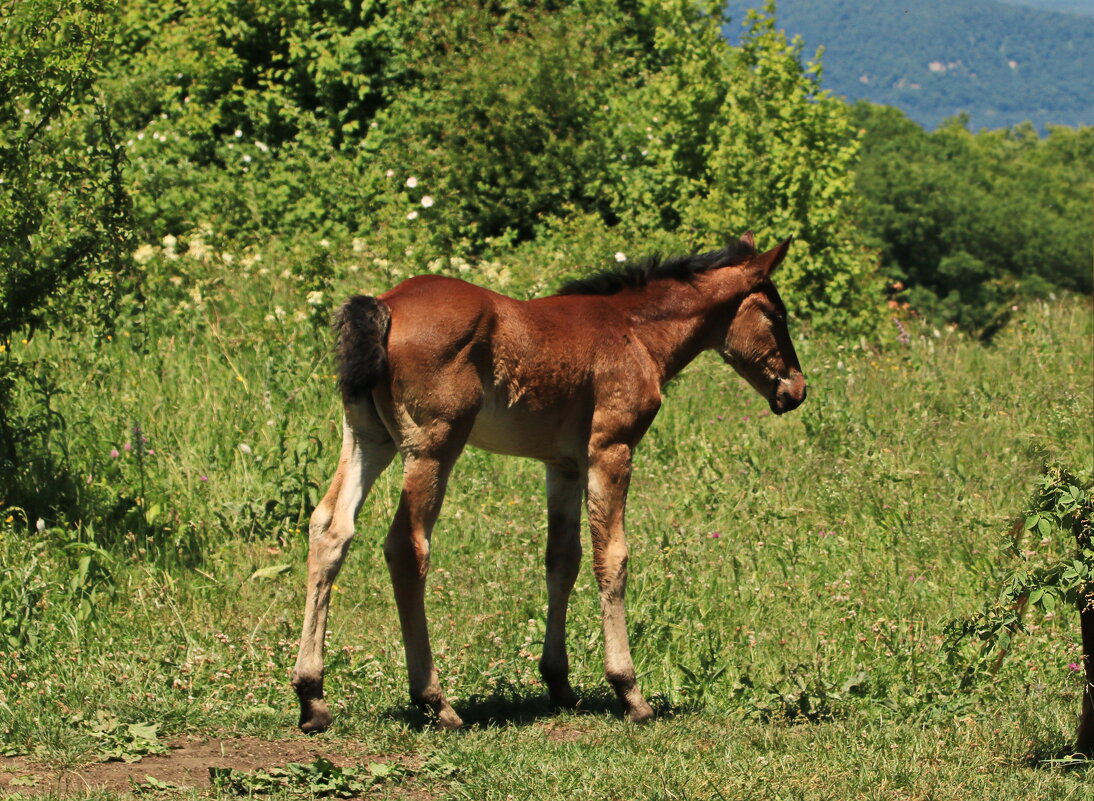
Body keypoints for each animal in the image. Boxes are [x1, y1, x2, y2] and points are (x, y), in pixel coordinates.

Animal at [291, 231, 805, 730]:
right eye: (777, 314)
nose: (796, 390)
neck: (634, 330)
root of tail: (386, 306)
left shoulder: (563, 466)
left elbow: (563, 558)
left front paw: (559, 683)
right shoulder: (610, 450)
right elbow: (612, 558)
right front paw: (630, 693)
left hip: (368, 438)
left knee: (331, 528)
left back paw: (312, 697)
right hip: (432, 447)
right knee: (407, 547)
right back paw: (435, 702)